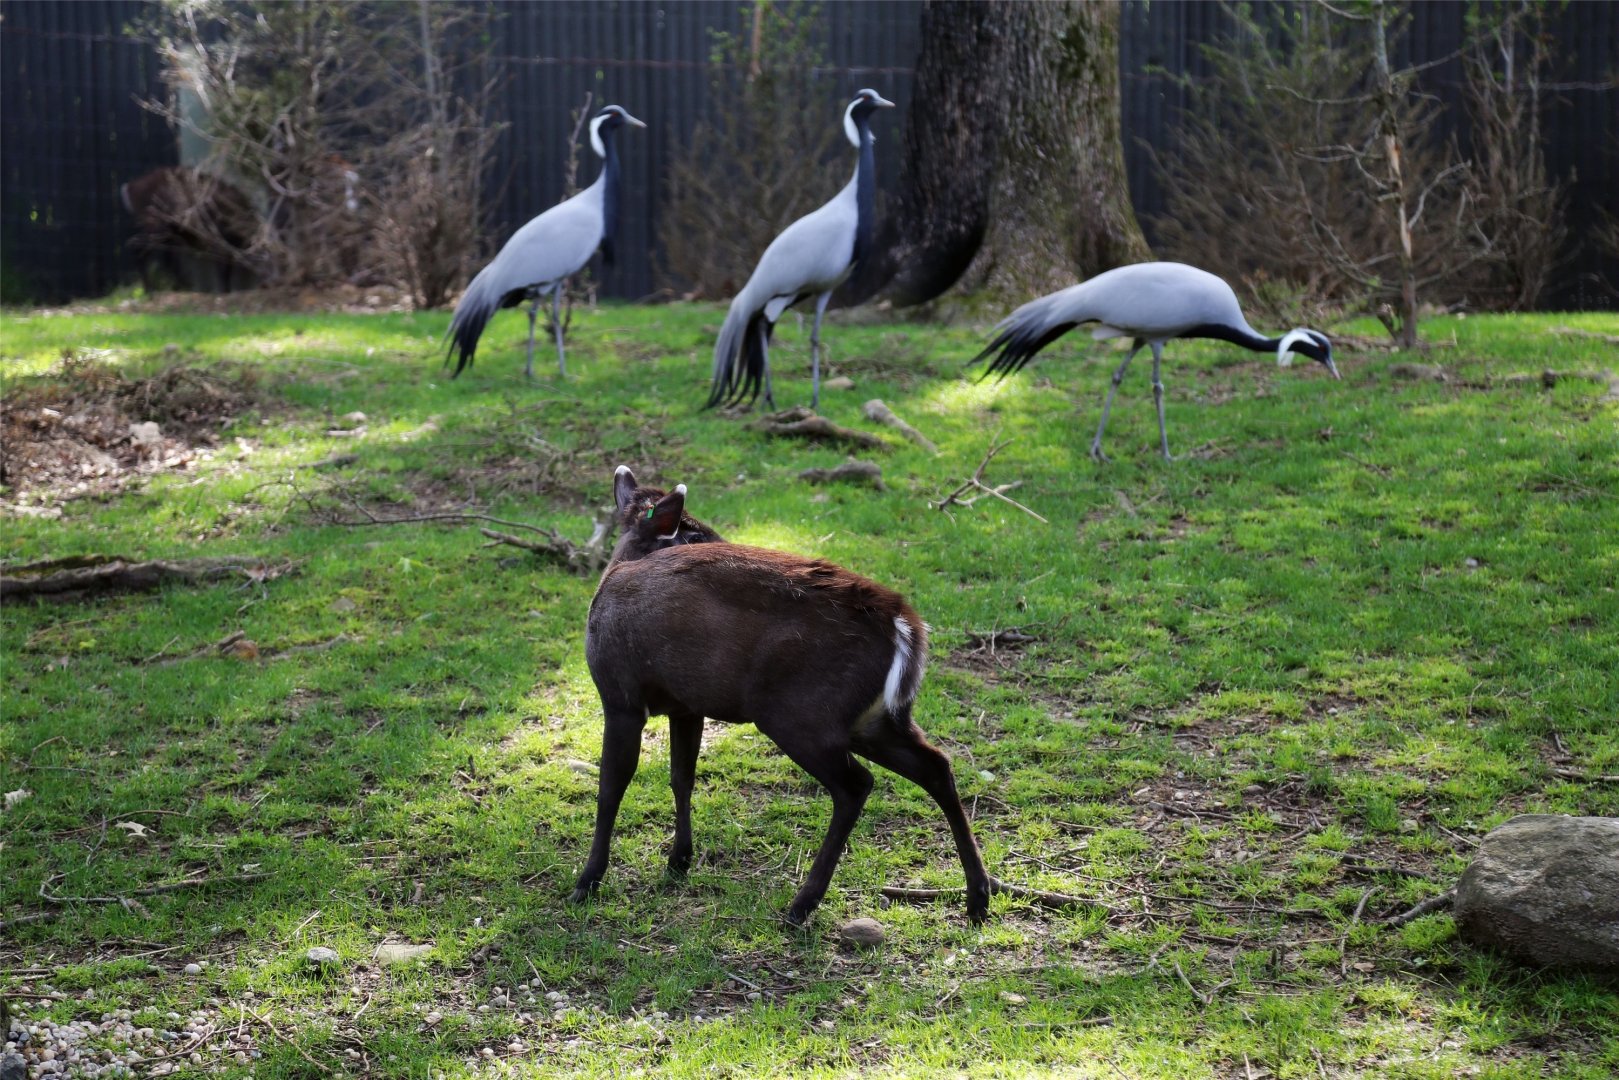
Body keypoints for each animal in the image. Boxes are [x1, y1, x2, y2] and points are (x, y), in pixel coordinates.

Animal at [570, 466, 993, 926]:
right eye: (695, 532)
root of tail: (906, 625)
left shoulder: (620, 696)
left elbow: (611, 786)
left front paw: (587, 880)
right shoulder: (687, 706)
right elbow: (682, 776)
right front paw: (679, 859)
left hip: (799, 714)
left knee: (856, 784)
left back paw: (801, 906)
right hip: (872, 717)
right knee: (935, 765)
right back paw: (978, 899)